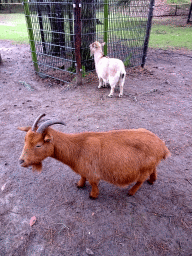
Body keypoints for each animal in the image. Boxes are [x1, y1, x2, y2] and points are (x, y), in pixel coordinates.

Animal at [18, 115, 170, 199]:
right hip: (151, 164)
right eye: (25, 140)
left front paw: (93, 195)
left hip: (143, 169)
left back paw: (131, 192)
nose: (21, 161)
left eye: (38, 145)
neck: (78, 147)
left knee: (140, 181)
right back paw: (152, 180)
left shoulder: (92, 172)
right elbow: (82, 177)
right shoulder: (83, 169)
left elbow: (93, 183)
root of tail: (162, 146)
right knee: (154, 170)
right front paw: (79, 185)